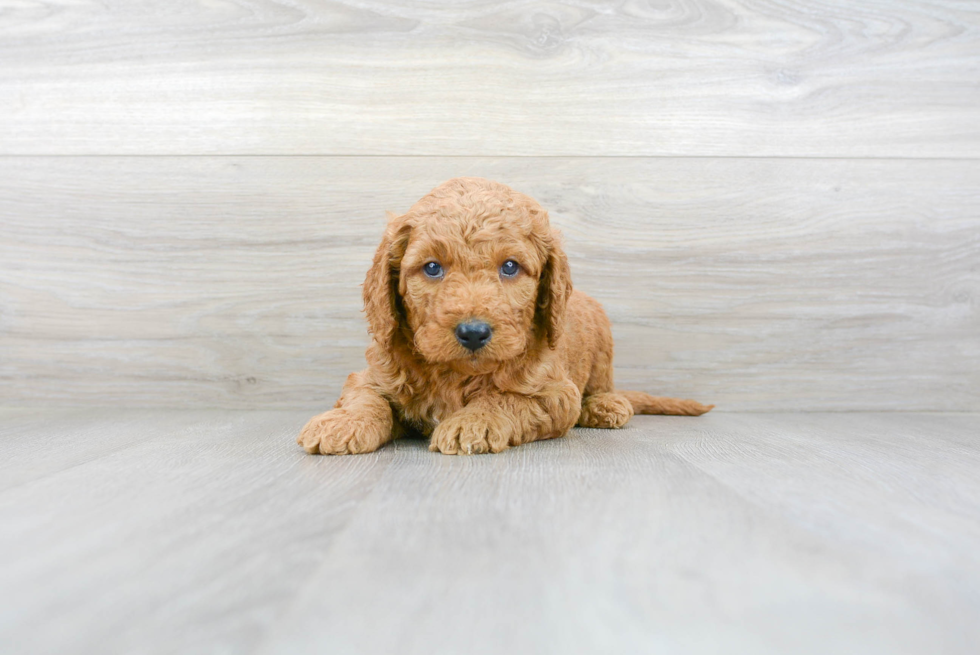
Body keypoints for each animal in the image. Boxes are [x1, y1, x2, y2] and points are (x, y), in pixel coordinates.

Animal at [298, 178, 712, 456]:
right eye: (431, 267)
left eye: (510, 266)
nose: (473, 333)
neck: (456, 375)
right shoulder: (376, 373)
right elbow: (365, 397)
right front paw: (343, 423)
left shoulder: (554, 392)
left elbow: (506, 399)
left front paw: (472, 422)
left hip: (602, 342)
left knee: (602, 387)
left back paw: (605, 406)